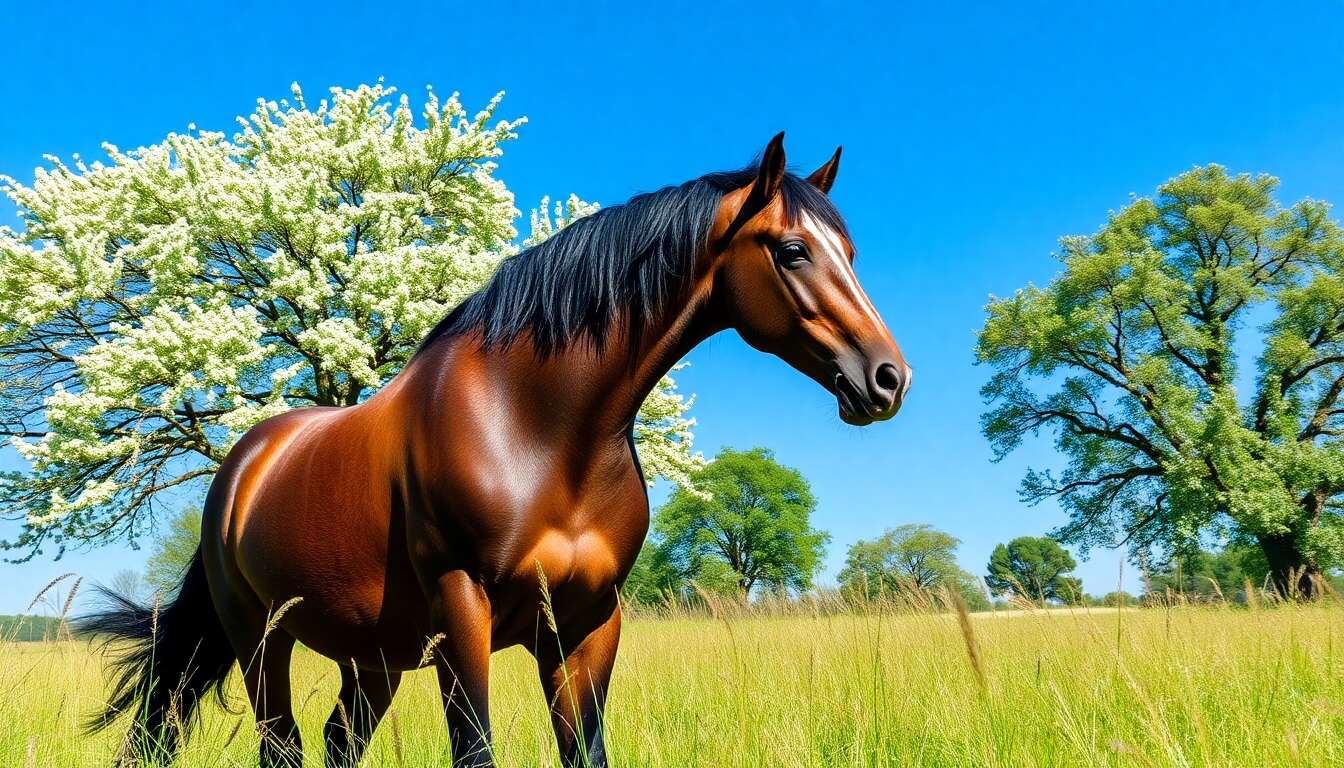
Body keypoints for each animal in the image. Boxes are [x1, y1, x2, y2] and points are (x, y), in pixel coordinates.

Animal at [77, 133, 911, 767]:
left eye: (851, 251)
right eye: (794, 250)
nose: (886, 377)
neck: (537, 429)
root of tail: (242, 468)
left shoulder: (587, 625)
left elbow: (586, 753)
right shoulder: (463, 610)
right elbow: (474, 752)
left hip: (370, 661)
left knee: (337, 743)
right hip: (262, 641)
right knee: (282, 746)